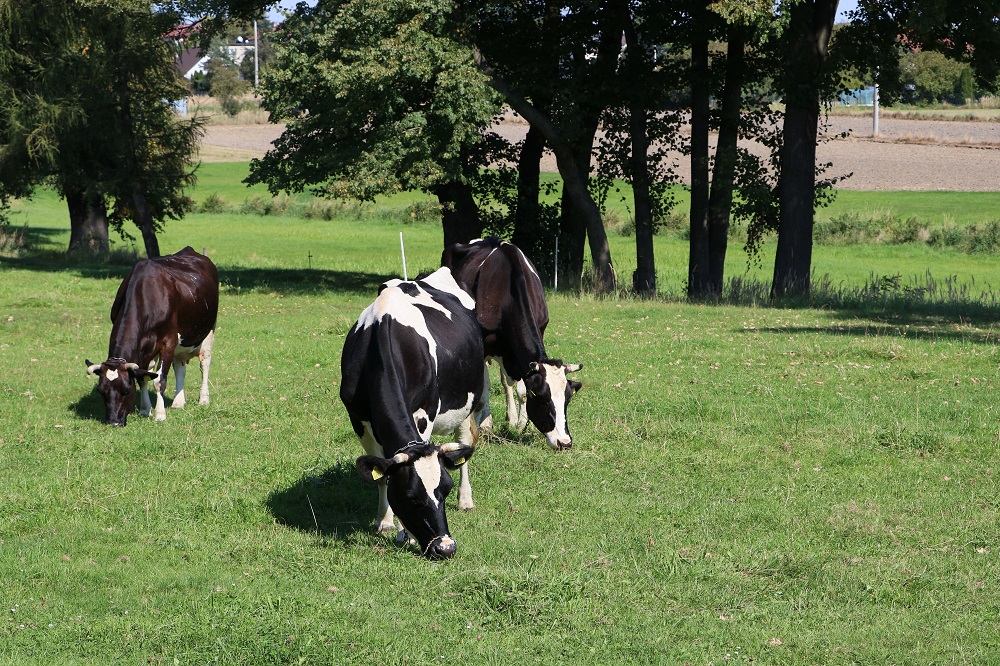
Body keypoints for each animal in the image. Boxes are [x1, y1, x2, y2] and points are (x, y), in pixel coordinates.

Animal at [86, 245, 219, 426]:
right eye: (101, 391)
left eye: (127, 390)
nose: (113, 422)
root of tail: (191, 251)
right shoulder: (145, 347)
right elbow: (143, 377)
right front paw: (145, 409)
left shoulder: (168, 342)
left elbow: (159, 381)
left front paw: (160, 414)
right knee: (179, 368)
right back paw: (178, 402)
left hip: (208, 331)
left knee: (204, 364)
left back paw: (204, 399)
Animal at [340, 264, 484, 556]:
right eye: (410, 497)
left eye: (445, 490)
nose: (446, 547)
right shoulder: (358, 420)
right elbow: (381, 476)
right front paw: (385, 522)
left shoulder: (424, 415)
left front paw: (405, 534)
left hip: (468, 404)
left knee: (465, 446)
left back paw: (466, 500)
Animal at [442, 236, 584, 448]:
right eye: (543, 401)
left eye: (567, 400)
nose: (564, 442)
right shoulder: (483, 345)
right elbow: (484, 389)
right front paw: (484, 425)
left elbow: (522, 390)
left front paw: (522, 424)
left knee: (506, 383)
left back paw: (512, 418)